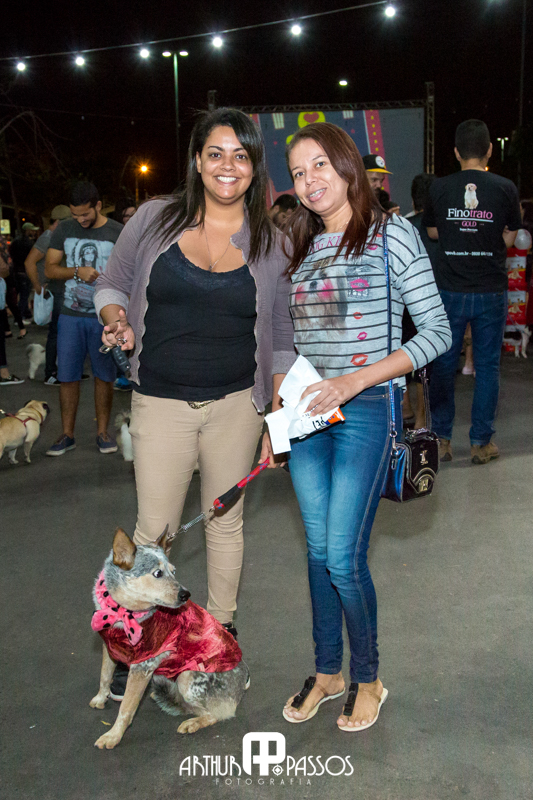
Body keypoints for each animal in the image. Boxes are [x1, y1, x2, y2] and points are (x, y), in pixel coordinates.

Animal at [90, 527, 249, 750]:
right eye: (158, 573)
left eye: (173, 571)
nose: (186, 594)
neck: (121, 613)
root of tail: (239, 689)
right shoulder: (110, 647)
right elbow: (104, 675)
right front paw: (100, 697)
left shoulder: (142, 667)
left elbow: (126, 708)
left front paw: (113, 736)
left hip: (186, 677)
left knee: (215, 714)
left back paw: (193, 722)